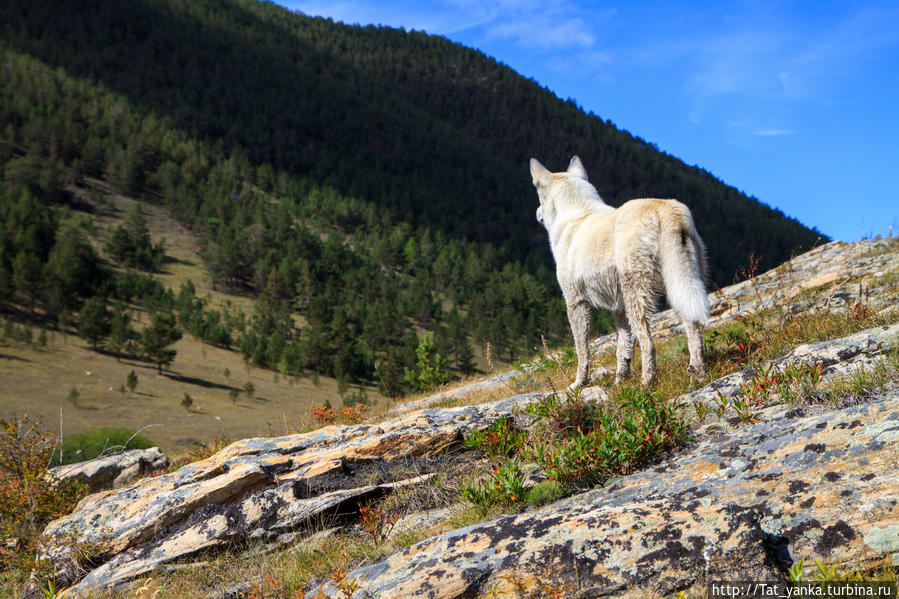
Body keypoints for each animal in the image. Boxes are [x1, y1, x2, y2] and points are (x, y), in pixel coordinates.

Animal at [528, 156, 712, 390]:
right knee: (694, 330)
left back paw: (647, 383)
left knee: (648, 344)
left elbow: (582, 350)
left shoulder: (575, 302)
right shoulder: (618, 306)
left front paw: (579, 384)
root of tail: (664, 209)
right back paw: (697, 374)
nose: (536, 214)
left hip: (639, 294)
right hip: (683, 285)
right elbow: (622, 347)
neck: (575, 216)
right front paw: (620, 380)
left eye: (538, 195)